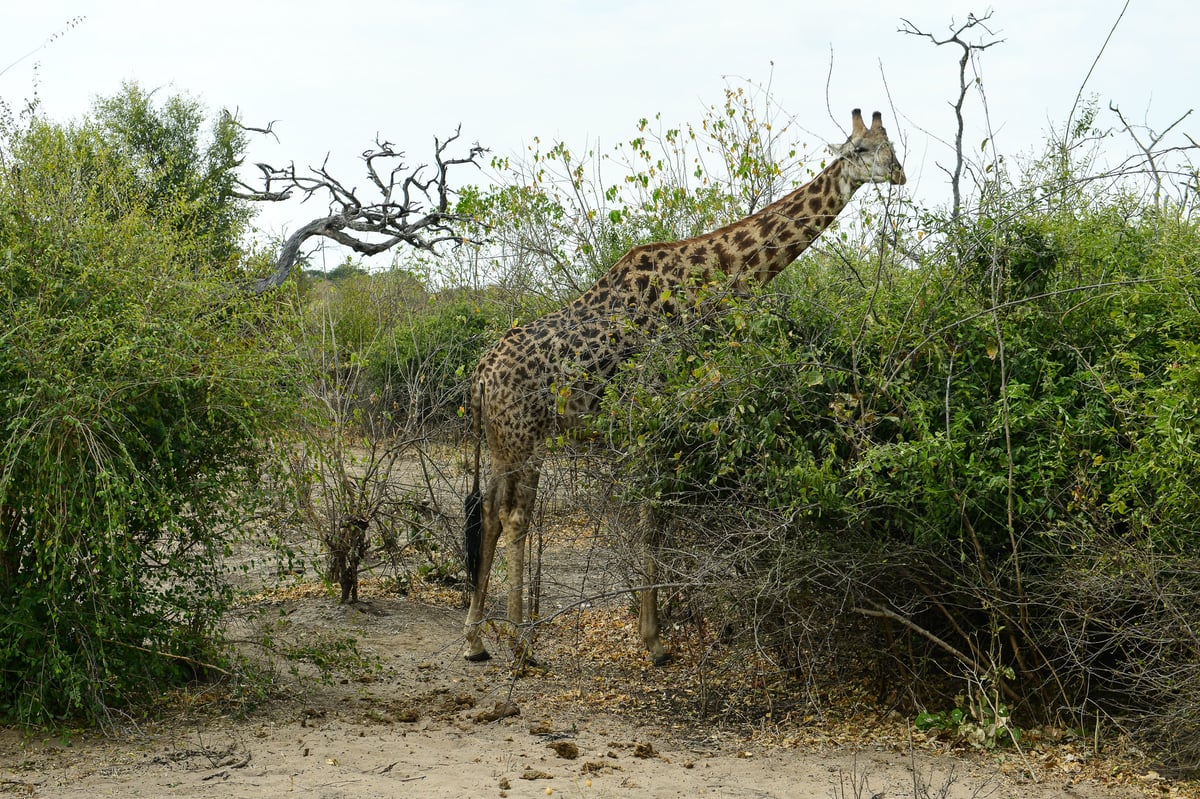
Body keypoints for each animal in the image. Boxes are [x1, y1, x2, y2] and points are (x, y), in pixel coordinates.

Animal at [458, 109, 902, 662]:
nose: (899, 172)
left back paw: (477, 640)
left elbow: (657, 522)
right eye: (859, 150)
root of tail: (480, 374)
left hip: (503, 439)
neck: (706, 281)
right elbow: (653, 524)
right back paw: (521, 643)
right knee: (515, 516)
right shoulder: (653, 416)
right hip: (524, 438)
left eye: (892, 144)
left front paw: (653, 635)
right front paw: (654, 642)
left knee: (492, 514)